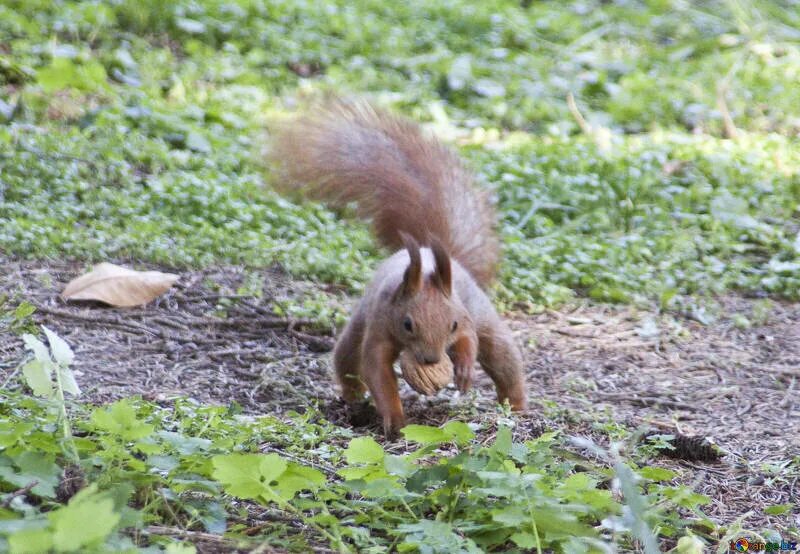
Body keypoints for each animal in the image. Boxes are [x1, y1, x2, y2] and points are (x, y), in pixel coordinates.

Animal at [272, 99, 528, 436]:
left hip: (486, 318)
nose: (431, 359)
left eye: (452, 325)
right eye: (407, 324)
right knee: (348, 360)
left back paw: (518, 406)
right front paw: (395, 420)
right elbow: (376, 370)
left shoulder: (465, 315)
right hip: (359, 325)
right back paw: (353, 398)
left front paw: (463, 370)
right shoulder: (381, 324)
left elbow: (468, 340)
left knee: (504, 360)